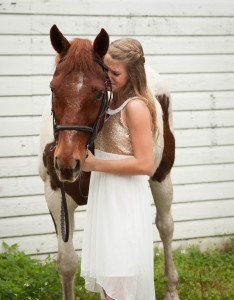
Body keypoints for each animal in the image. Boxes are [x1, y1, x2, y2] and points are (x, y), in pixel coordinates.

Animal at [37, 25, 178, 300]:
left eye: (100, 92)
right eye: (53, 88)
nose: (67, 163)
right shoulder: (55, 195)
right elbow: (67, 263)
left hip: (162, 174)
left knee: (165, 226)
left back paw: (171, 288)